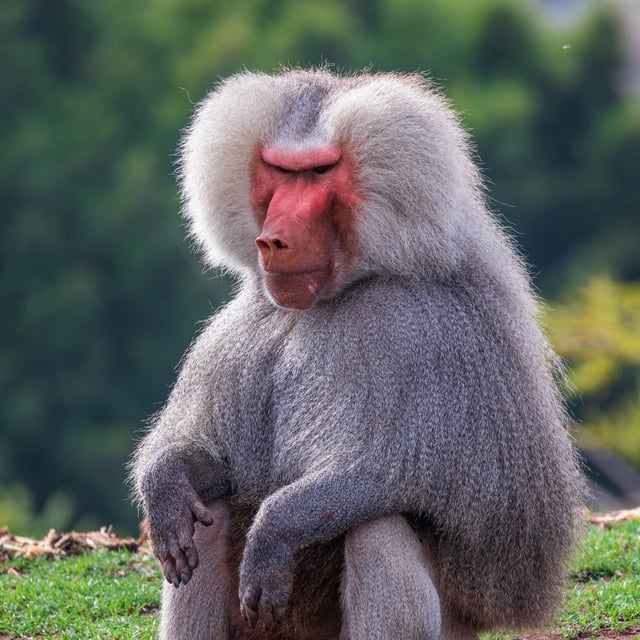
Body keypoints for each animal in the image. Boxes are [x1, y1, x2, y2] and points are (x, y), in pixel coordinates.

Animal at [130, 69, 585, 640]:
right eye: (280, 171)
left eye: (321, 171)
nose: (273, 241)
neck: (339, 294)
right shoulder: (246, 331)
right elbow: (219, 471)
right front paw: (165, 482)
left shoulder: (410, 333)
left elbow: (384, 476)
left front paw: (272, 533)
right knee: (204, 520)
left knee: (377, 526)